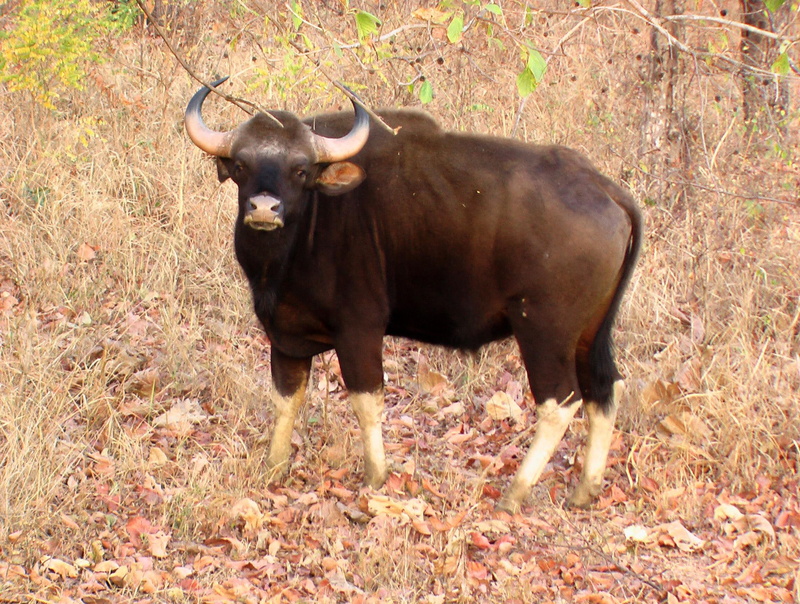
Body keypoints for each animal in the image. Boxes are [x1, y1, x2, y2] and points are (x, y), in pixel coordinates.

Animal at [185, 78, 642, 512]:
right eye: (242, 165)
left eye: (300, 169)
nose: (264, 208)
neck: (295, 246)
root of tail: (606, 191)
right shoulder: (285, 334)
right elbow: (286, 399)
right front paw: (275, 466)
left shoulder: (359, 329)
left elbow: (366, 400)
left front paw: (376, 475)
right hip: (590, 331)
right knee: (605, 389)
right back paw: (585, 488)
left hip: (545, 329)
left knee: (560, 402)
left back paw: (516, 492)